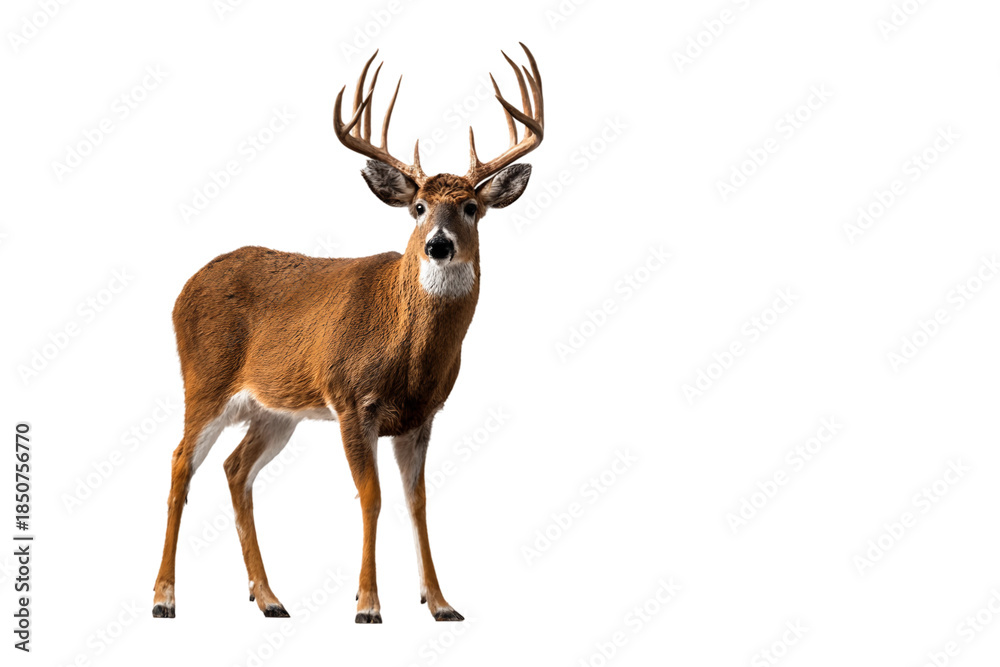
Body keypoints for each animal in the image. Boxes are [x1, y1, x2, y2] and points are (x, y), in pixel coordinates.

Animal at [151, 44, 543, 623]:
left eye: (472, 207)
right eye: (418, 207)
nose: (439, 245)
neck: (410, 353)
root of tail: (185, 287)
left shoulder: (421, 416)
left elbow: (417, 501)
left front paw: (440, 602)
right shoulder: (352, 399)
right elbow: (372, 496)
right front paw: (368, 604)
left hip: (273, 411)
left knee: (235, 468)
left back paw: (269, 598)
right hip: (205, 381)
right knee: (181, 461)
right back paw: (165, 597)